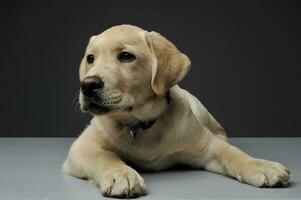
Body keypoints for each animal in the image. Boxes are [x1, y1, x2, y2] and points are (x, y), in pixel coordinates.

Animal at [62, 24, 288, 198]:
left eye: (126, 56)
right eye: (90, 58)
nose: (87, 85)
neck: (140, 124)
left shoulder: (207, 148)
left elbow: (232, 153)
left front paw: (260, 165)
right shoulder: (82, 147)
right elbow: (106, 156)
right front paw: (122, 175)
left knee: (220, 134)